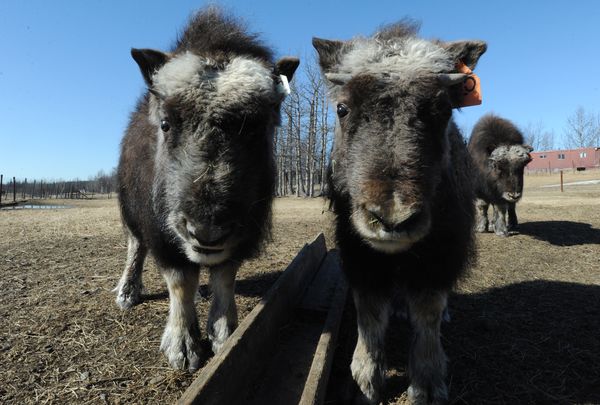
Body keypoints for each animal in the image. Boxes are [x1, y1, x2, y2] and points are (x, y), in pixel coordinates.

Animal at [113, 7, 298, 370]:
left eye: (257, 129)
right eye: (166, 124)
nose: (206, 231)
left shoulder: (242, 232)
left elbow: (224, 275)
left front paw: (225, 336)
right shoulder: (162, 232)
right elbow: (179, 281)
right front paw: (183, 348)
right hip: (130, 211)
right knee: (134, 247)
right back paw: (127, 293)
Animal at [314, 22, 488, 404]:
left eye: (443, 109)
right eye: (342, 109)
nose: (392, 218)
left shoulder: (440, 254)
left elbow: (428, 311)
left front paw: (427, 384)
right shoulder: (359, 253)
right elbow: (369, 311)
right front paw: (364, 380)